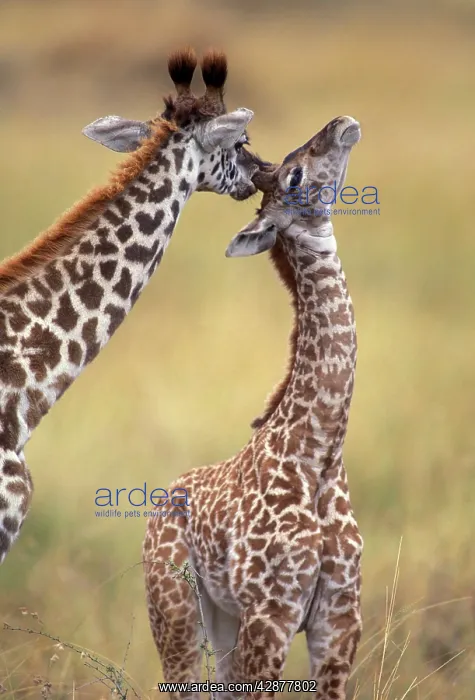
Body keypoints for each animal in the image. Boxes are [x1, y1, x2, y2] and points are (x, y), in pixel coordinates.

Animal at [143, 115, 363, 699]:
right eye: (293, 176)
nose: (342, 125)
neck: (320, 454)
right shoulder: (272, 613)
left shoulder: (340, 619)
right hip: (177, 610)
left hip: (223, 618)